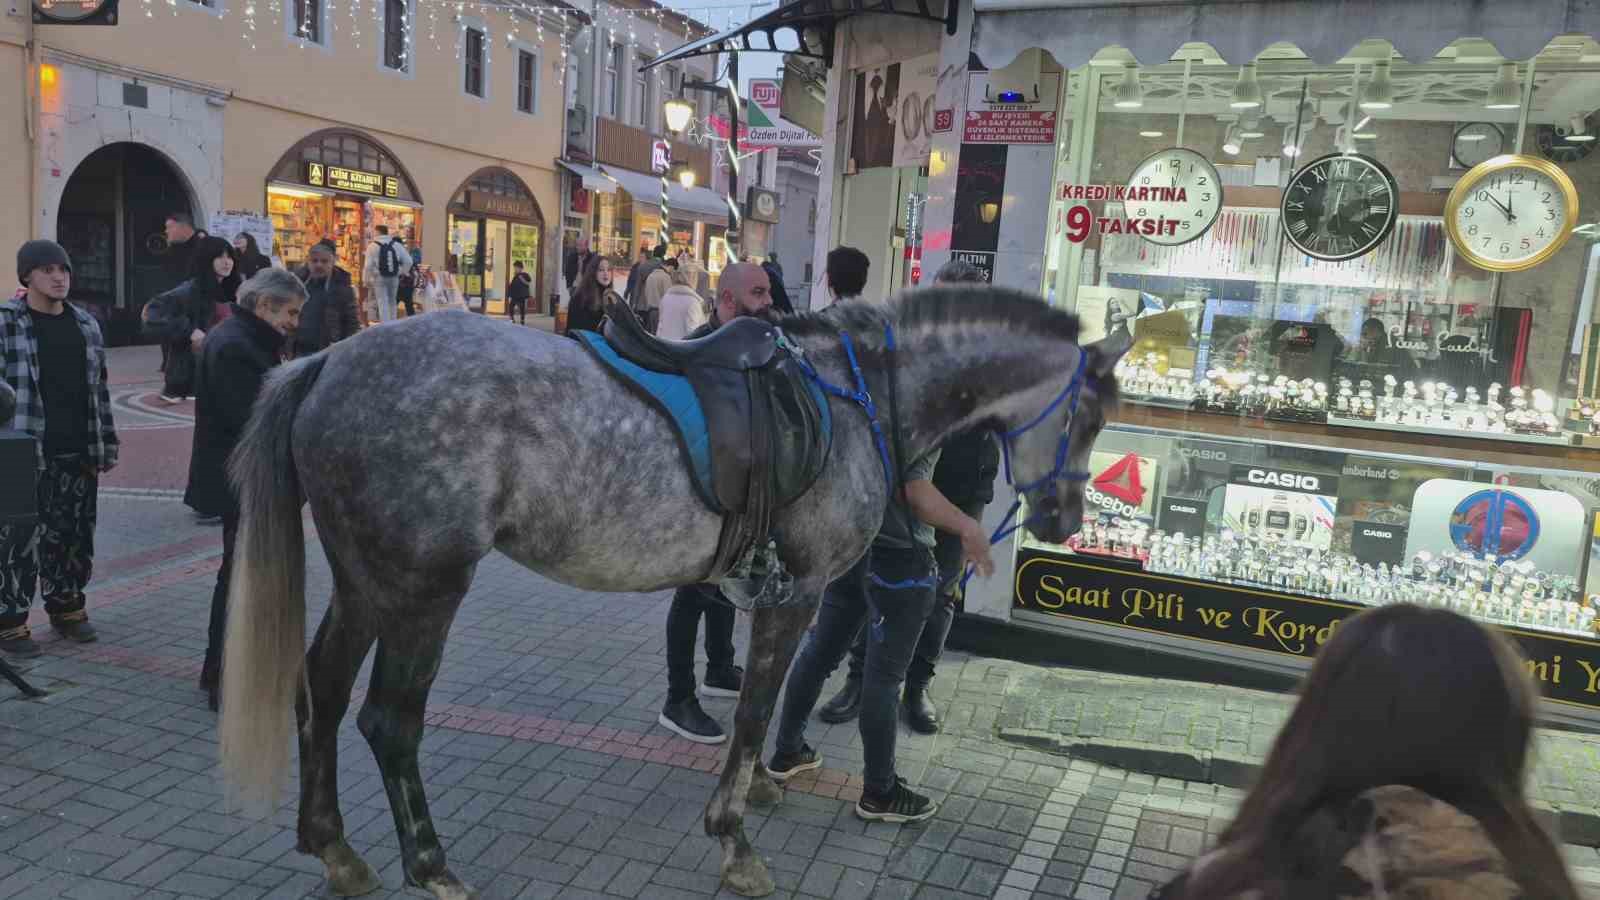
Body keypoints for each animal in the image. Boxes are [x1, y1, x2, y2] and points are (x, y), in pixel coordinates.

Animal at [219, 283, 1132, 890]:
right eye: (1089, 414)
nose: (1063, 518)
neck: (857, 394)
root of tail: (327, 359)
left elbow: (766, 704)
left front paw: (759, 785)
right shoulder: (797, 593)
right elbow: (758, 707)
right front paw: (734, 839)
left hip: (365, 581)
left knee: (322, 690)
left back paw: (336, 850)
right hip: (424, 590)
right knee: (389, 721)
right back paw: (431, 867)